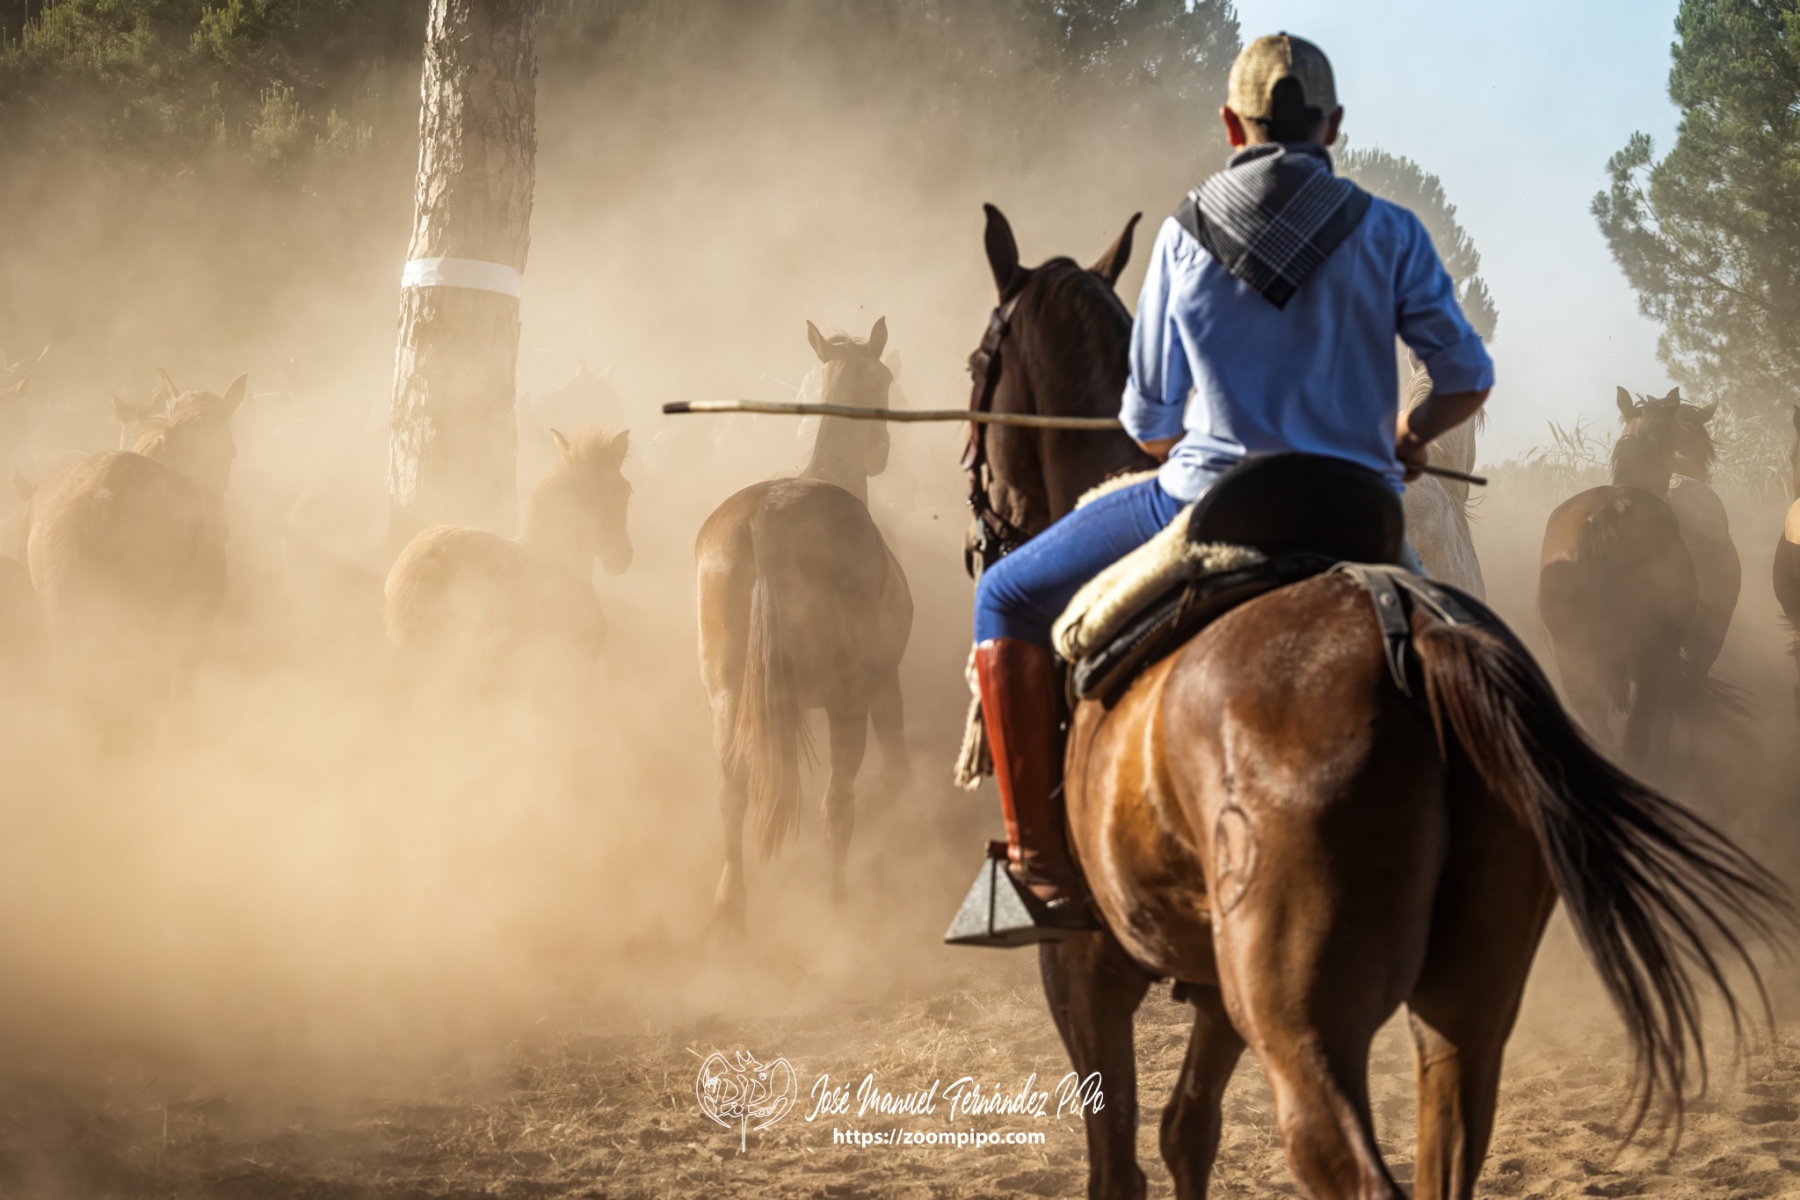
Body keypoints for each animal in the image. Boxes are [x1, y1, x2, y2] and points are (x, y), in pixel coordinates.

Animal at [697, 318, 911, 925]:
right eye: (885, 378)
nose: (882, 451)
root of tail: (765, 520)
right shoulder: (883, 684)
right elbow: (894, 774)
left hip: (729, 695)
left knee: (732, 790)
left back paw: (731, 906)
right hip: (847, 701)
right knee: (836, 804)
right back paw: (836, 905)